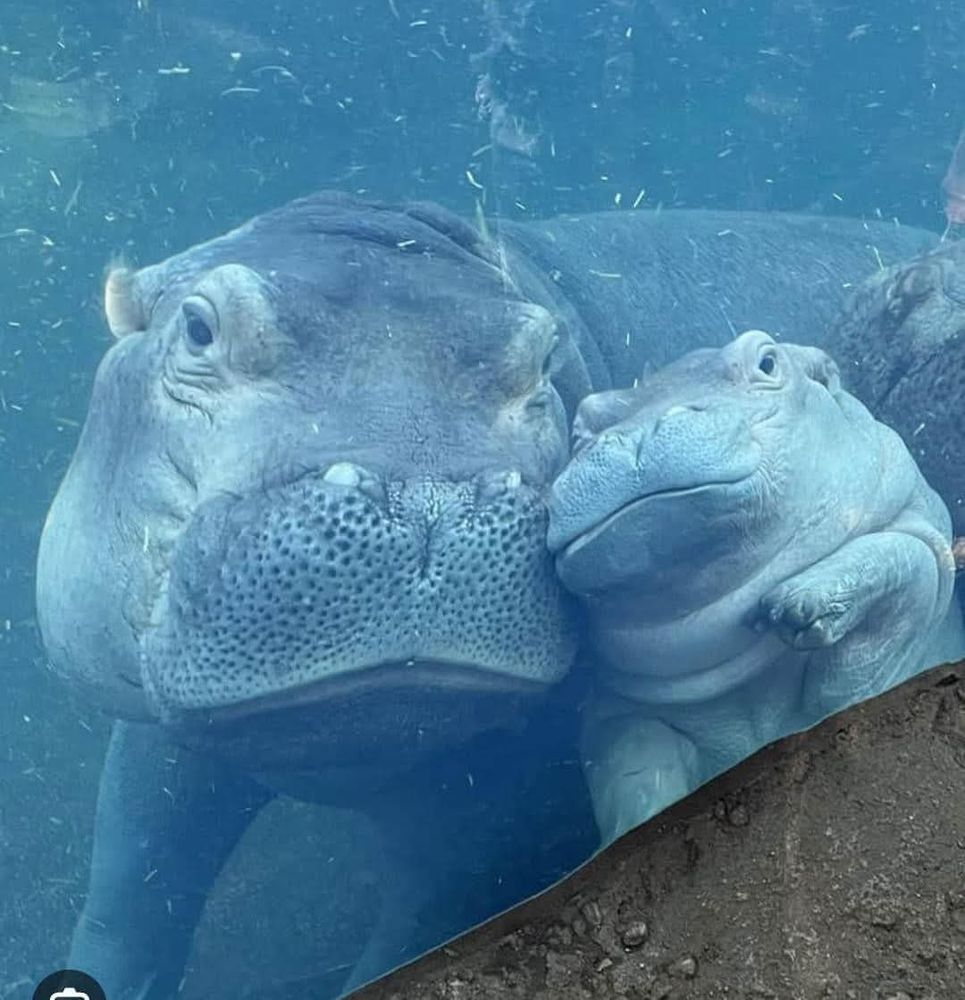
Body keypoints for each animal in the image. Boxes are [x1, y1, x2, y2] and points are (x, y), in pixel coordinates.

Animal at [548, 330, 964, 843]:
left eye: (766, 360)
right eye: (581, 423)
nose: (631, 438)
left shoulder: (927, 543)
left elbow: (901, 563)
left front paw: (798, 603)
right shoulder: (615, 711)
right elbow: (636, 770)